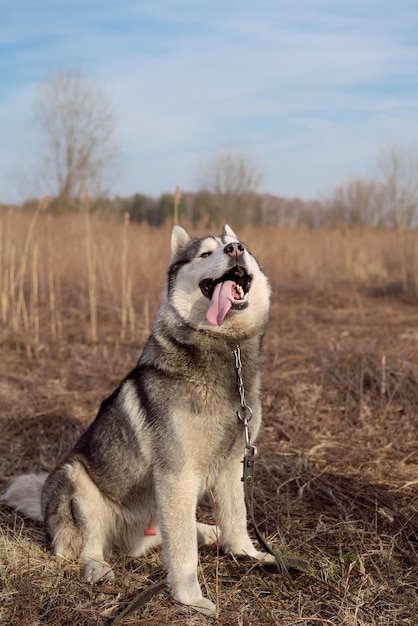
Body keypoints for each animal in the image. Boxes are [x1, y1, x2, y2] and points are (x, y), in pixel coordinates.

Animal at [4, 224, 272, 616]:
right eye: (206, 254)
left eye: (242, 248)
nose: (235, 249)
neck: (228, 350)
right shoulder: (177, 474)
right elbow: (184, 554)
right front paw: (189, 598)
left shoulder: (233, 462)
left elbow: (236, 519)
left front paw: (248, 554)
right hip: (77, 481)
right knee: (85, 548)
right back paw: (97, 567)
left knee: (177, 531)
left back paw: (208, 531)